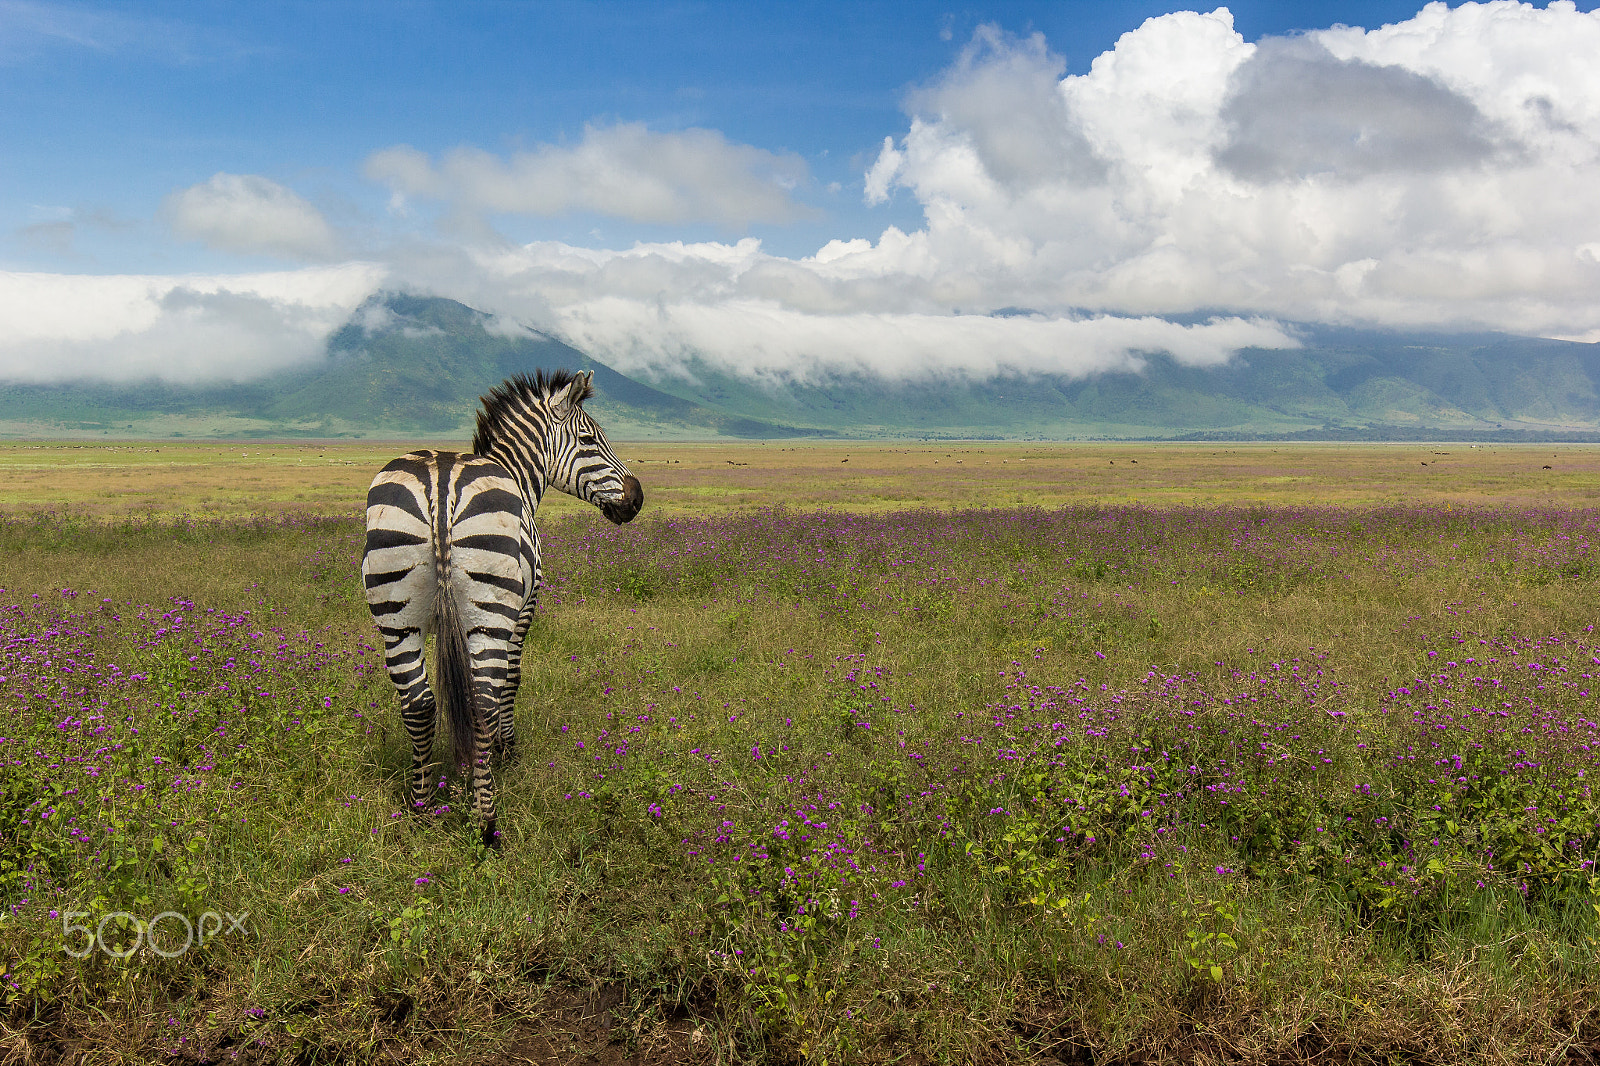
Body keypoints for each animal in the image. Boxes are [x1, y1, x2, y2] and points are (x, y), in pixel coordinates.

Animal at [360, 369, 640, 845]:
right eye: (589, 439)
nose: (637, 499)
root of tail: (441, 477)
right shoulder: (524, 609)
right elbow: (512, 679)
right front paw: (505, 750)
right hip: (488, 615)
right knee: (485, 700)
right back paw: (485, 820)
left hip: (396, 617)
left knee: (418, 703)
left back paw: (421, 805)